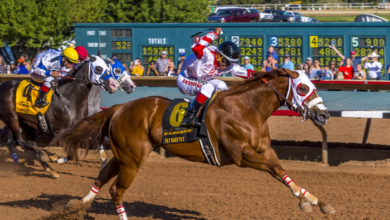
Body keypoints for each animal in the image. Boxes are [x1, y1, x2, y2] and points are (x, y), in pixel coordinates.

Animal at [52, 68, 336, 219]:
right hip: (132, 159)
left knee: (102, 175)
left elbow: (282, 171)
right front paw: (307, 201)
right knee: (116, 191)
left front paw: (316, 201)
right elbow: (276, 170)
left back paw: (78, 205)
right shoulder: (242, 156)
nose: (323, 115)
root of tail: (119, 108)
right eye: (302, 88)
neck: (246, 109)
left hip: (123, 154)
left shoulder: (263, 149)